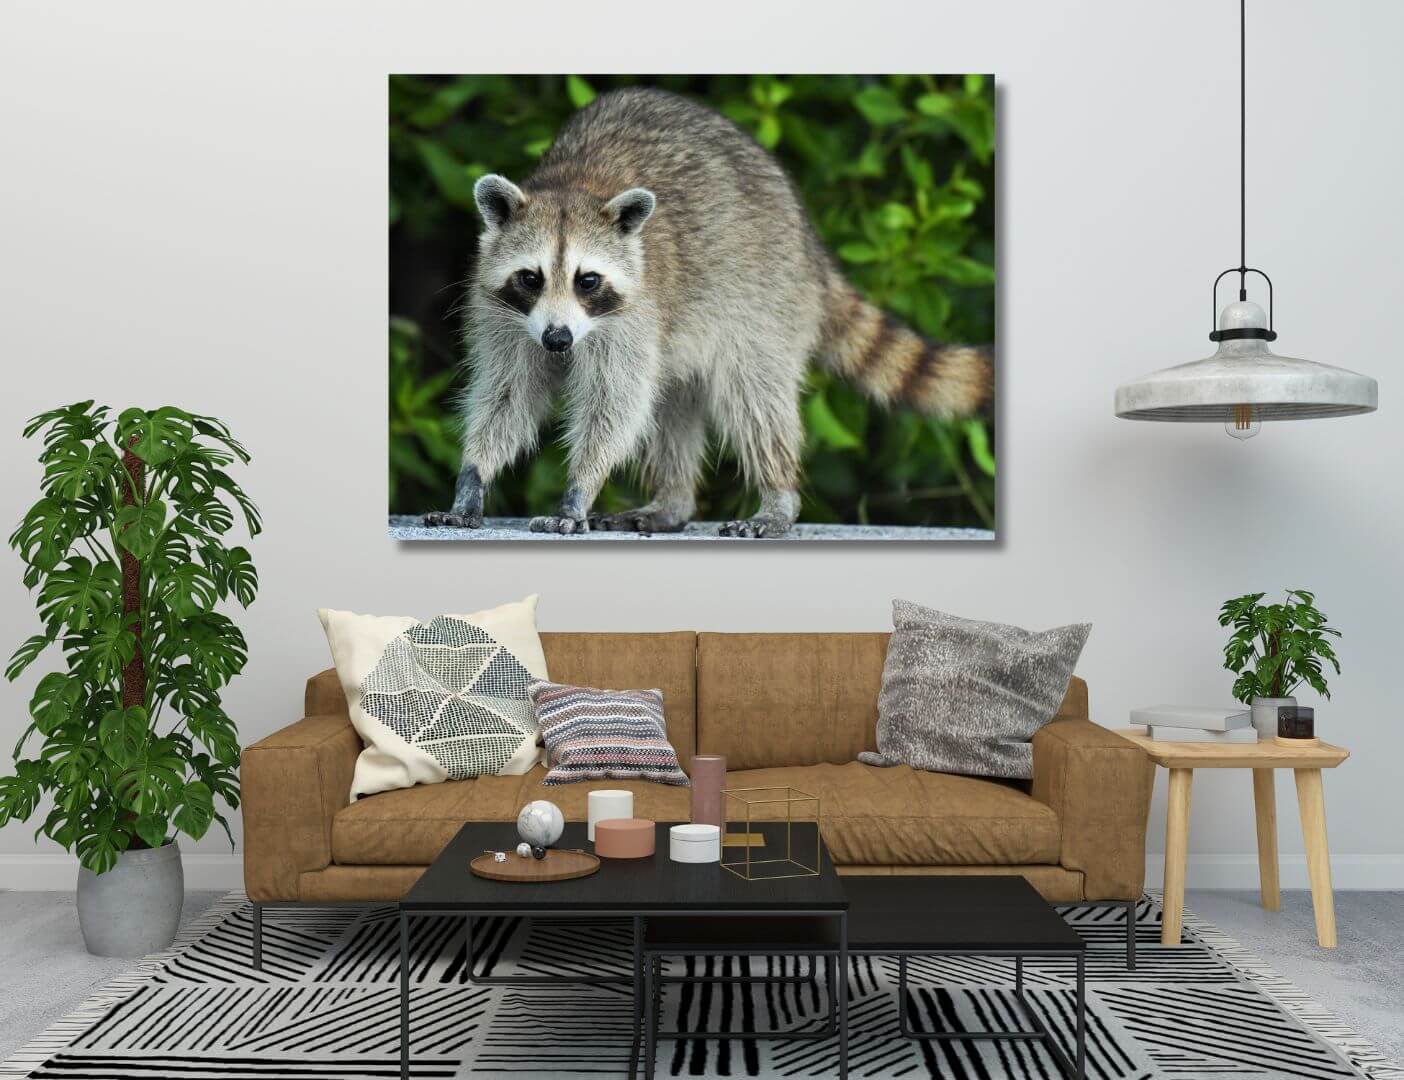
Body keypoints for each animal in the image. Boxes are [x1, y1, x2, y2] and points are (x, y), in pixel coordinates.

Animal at [423, 86, 991, 538]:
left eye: (587, 280)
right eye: (531, 277)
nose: (558, 341)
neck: (574, 185)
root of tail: (810, 248)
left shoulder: (634, 315)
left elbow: (615, 403)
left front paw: (579, 489)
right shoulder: (502, 314)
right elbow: (507, 394)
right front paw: (473, 478)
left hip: (764, 297)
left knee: (753, 397)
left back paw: (777, 495)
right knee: (672, 404)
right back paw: (673, 502)